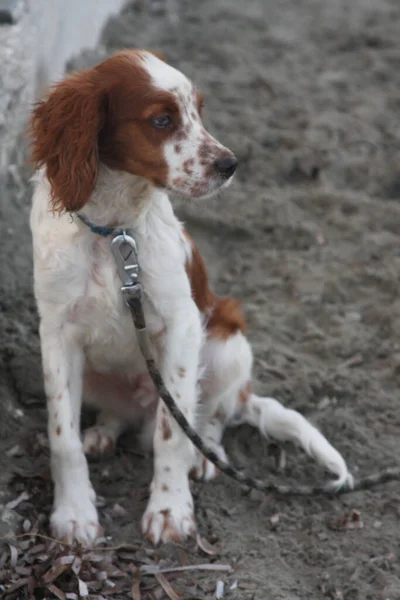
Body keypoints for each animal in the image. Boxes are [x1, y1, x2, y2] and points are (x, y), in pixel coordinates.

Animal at [29, 50, 352, 548]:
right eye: (161, 120)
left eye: (199, 111)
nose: (230, 164)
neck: (116, 232)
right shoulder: (57, 332)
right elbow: (62, 433)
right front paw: (74, 513)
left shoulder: (181, 327)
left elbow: (172, 432)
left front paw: (169, 510)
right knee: (121, 415)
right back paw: (103, 433)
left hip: (228, 344)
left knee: (209, 417)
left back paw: (205, 455)